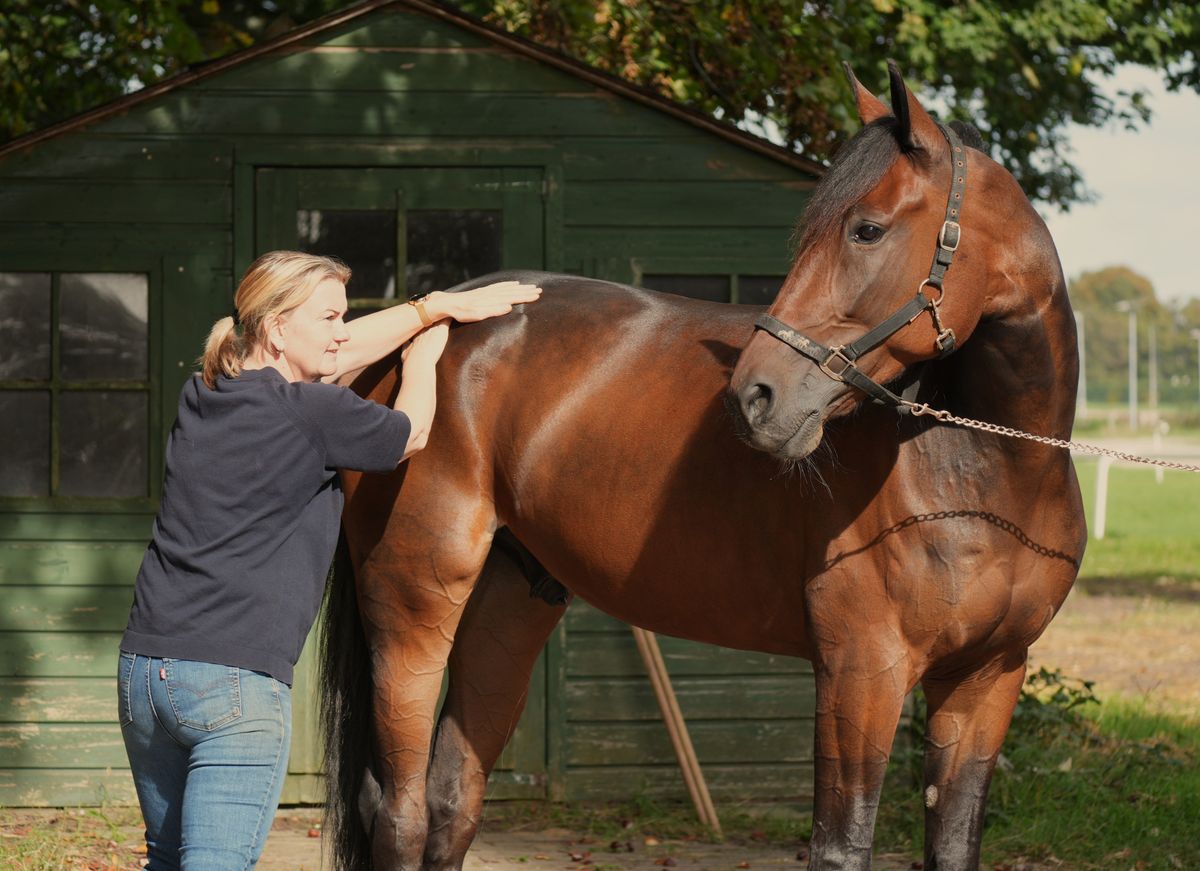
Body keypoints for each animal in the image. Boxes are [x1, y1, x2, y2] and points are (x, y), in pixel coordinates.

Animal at [320, 63, 1086, 871]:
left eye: (867, 228)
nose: (755, 396)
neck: (983, 476)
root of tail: (403, 342)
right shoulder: (861, 674)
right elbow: (841, 847)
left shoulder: (987, 679)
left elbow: (954, 844)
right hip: (414, 602)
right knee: (399, 811)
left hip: (510, 601)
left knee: (452, 799)